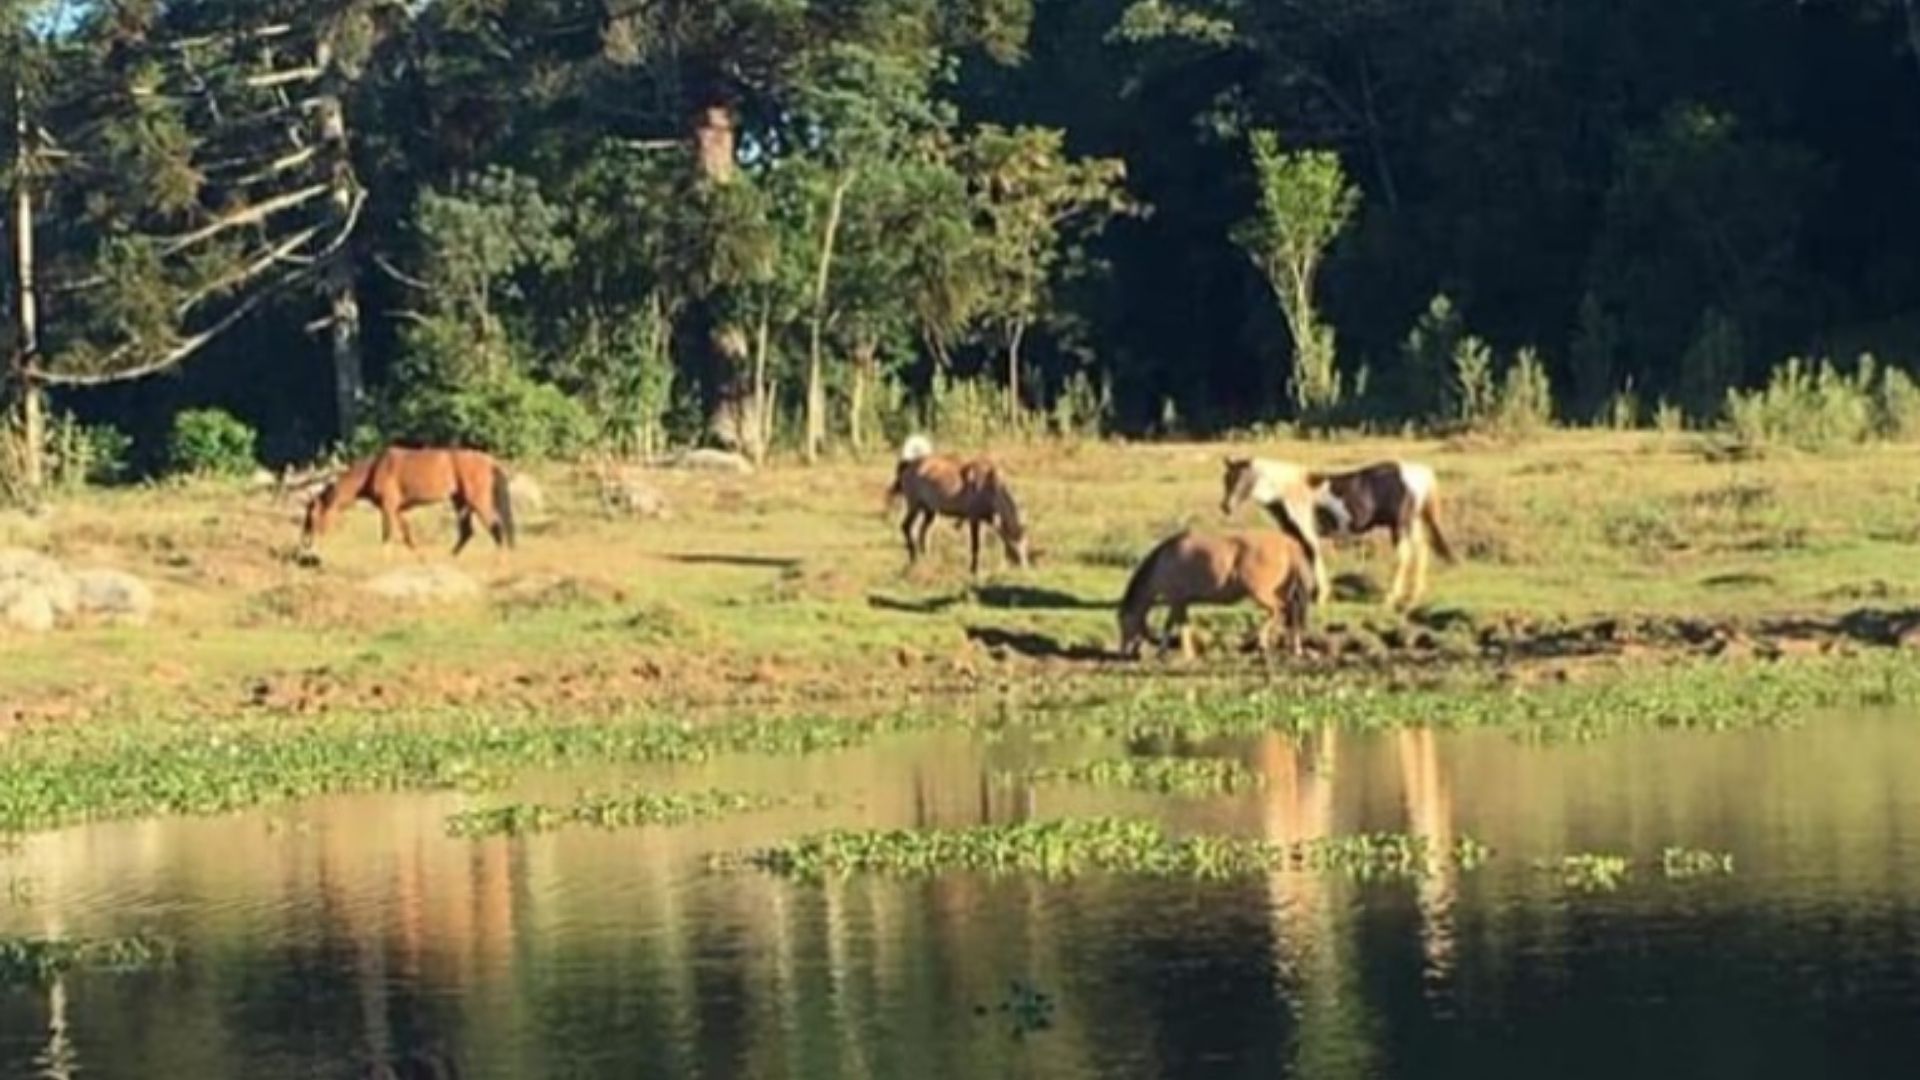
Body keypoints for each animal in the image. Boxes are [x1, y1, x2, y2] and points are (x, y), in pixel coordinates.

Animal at [302, 446, 516, 557]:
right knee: (467, 533)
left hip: (478, 501)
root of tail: (491, 462)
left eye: (313, 515)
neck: (374, 469)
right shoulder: (398, 509)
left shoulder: (388, 507)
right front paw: (421, 559)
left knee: (496, 529)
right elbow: (408, 537)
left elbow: (387, 536)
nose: (307, 543)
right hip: (460, 502)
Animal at [887, 434, 1032, 575]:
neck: (991, 488)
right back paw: (913, 558)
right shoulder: (974, 518)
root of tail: (907, 464)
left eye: (1025, 543)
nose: (1024, 568)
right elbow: (975, 546)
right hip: (914, 504)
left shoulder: (986, 519)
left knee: (923, 532)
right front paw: (974, 571)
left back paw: (926, 558)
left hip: (930, 510)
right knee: (906, 526)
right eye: (1012, 546)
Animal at [1117, 514, 1318, 662]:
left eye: (1122, 622)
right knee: (1291, 612)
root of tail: (1288, 544)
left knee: (1278, 610)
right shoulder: (1181, 602)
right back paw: (1295, 649)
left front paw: (1165, 652)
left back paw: (1262, 644)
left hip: (1261, 593)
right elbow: (1182, 625)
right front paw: (1189, 654)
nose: (1124, 652)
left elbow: (1171, 625)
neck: (1162, 562)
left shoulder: (1176, 600)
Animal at [1222, 456, 1454, 610]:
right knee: (1421, 552)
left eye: (1240, 479)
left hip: (1399, 526)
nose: (1225, 507)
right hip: (1411, 524)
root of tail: (1417, 472)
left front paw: (1321, 597)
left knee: (1404, 558)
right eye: (1226, 479)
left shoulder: (1307, 533)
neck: (1288, 491)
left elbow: (1313, 558)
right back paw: (1413, 597)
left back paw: (1390, 598)